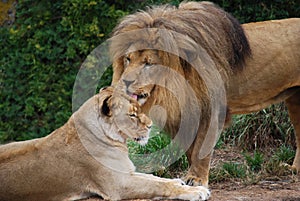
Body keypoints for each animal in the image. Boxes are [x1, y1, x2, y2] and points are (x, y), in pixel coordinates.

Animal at [0, 87, 210, 201]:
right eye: (132, 114)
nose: (151, 126)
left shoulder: (126, 172)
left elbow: (154, 178)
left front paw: (178, 181)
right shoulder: (118, 184)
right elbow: (157, 187)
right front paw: (197, 191)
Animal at [110, 1, 300, 187]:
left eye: (148, 63)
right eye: (128, 59)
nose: (125, 82)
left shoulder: (211, 110)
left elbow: (201, 150)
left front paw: (196, 179)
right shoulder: (186, 114)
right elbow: (190, 150)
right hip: (295, 100)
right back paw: (294, 169)